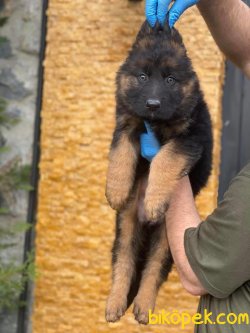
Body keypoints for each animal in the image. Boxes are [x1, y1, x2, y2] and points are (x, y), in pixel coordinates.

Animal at [104, 20, 212, 324]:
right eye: (142, 77)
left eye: (170, 80)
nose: (152, 104)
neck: (155, 123)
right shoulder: (127, 125)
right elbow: (120, 154)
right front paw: (116, 190)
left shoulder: (190, 138)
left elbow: (164, 158)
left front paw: (154, 201)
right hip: (126, 226)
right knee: (124, 262)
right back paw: (115, 303)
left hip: (167, 240)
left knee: (153, 268)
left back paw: (142, 306)